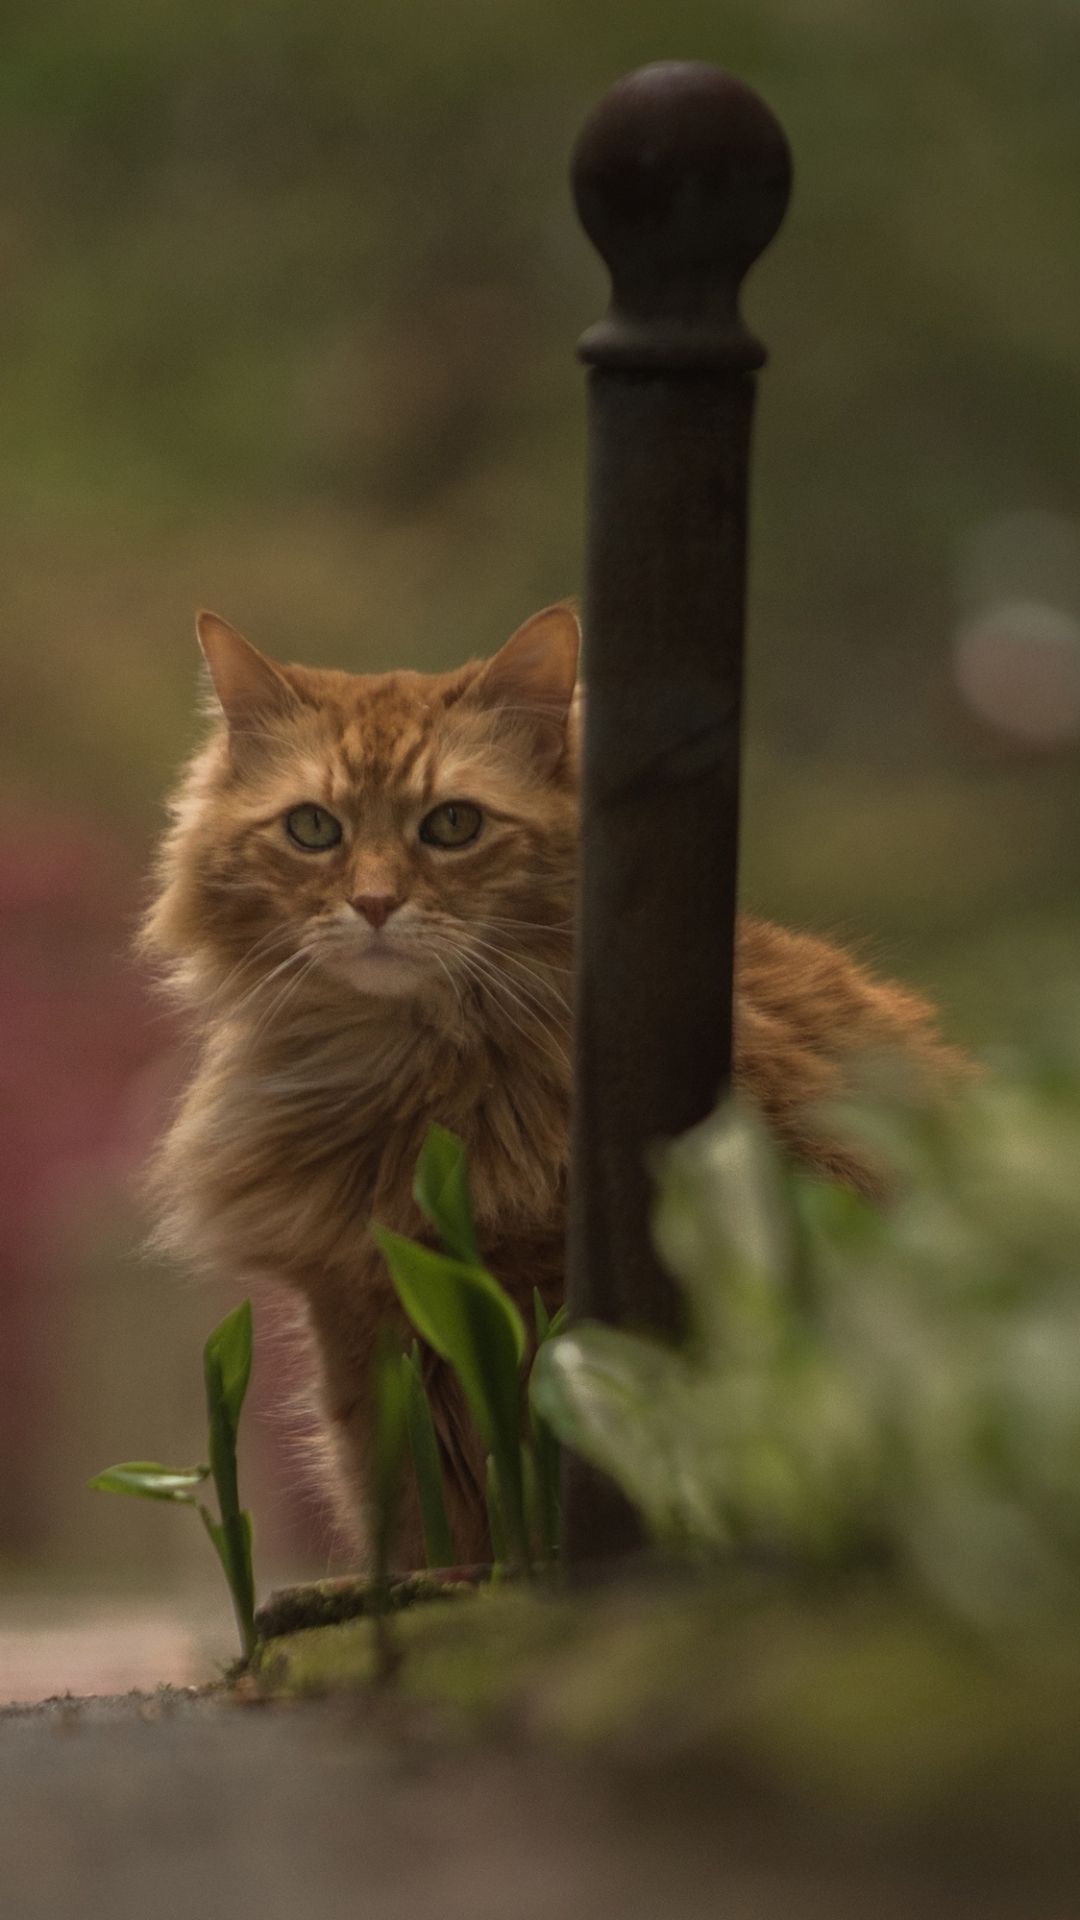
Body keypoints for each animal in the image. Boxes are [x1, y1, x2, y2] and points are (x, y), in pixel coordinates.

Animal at [138, 606, 953, 1566]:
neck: (406, 1075)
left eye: (453, 824)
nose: (373, 904)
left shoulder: (533, 1313)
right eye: (312, 830)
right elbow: (415, 1525)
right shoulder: (364, 1330)